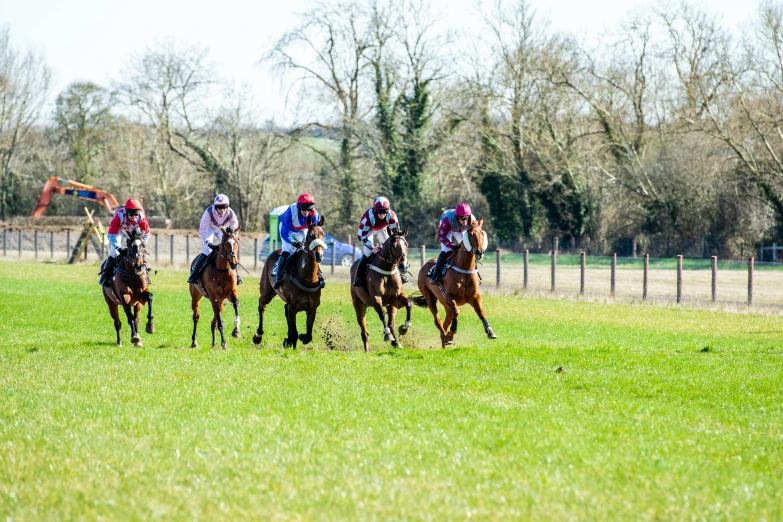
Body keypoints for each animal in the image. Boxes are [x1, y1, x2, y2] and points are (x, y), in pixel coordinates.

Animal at [254, 213, 328, 348]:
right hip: (267, 292)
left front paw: (299, 337)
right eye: (310, 235)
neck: (307, 280)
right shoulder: (293, 307)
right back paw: (258, 335)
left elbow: (308, 336)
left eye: (323, 234)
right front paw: (290, 340)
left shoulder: (312, 308)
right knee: (261, 305)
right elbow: (294, 332)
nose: (319, 255)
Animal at [414, 218, 500, 346]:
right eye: (471, 234)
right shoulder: (450, 297)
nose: (479, 252)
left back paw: (444, 340)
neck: (464, 269)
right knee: (438, 321)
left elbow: (481, 312)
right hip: (430, 297)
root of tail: (424, 266)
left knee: (446, 322)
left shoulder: (474, 296)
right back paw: (446, 336)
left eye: (482, 234)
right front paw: (450, 335)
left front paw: (490, 331)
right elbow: (457, 312)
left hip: (445, 304)